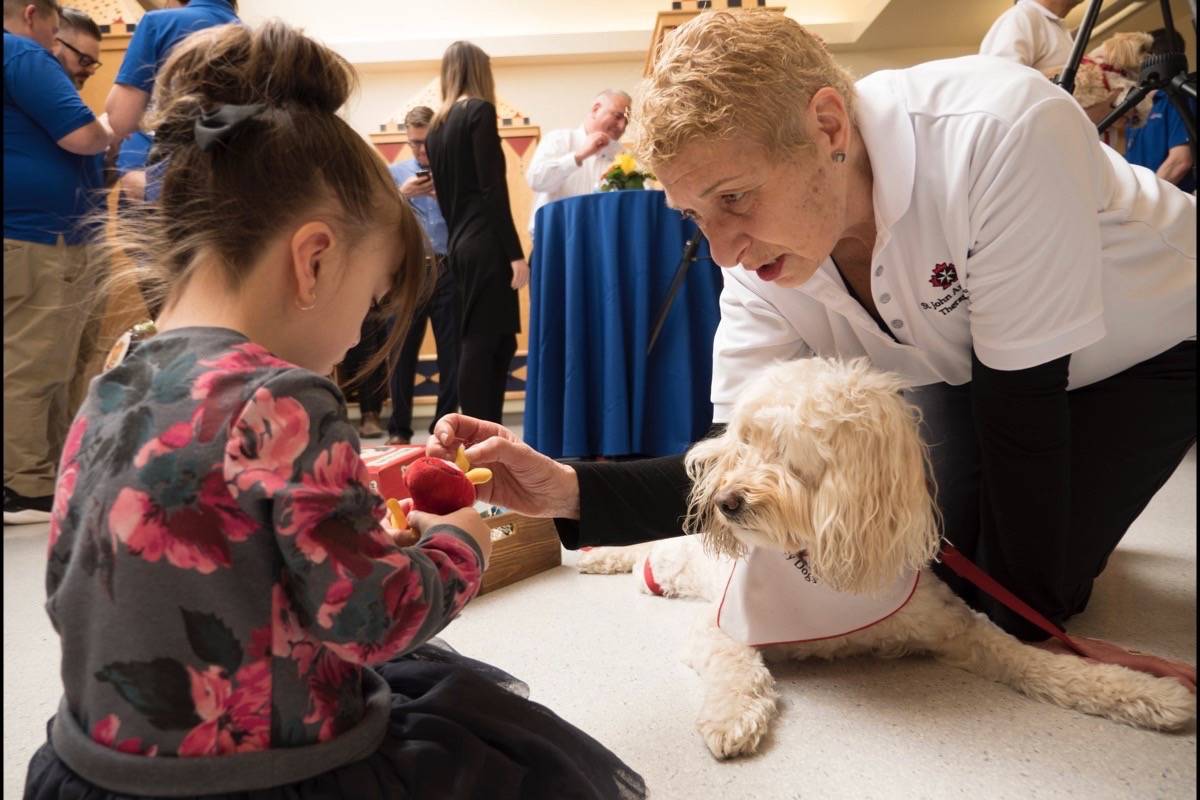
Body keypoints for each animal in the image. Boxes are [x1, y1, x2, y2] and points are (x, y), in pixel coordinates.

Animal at [576, 359, 1195, 762]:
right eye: (742, 439)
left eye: (788, 452)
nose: (725, 502)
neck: (818, 570)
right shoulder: (721, 626)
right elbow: (736, 668)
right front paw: (732, 716)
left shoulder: (956, 625)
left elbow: (1033, 660)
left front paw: (1144, 692)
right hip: (677, 563)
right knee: (645, 552)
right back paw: (597, 554)